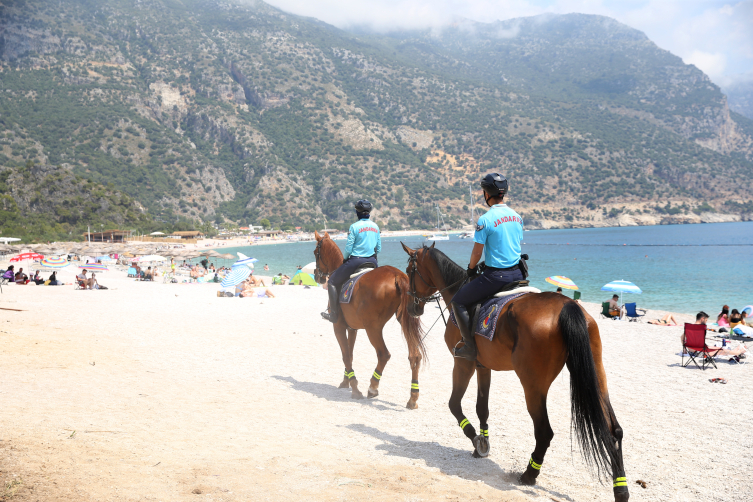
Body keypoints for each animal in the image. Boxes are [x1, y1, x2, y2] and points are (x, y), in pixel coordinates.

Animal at [312, 233, 426, 410]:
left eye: (315, 253)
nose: (317, 275)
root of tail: (397, 275)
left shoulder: (338, 327)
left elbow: (346, 355)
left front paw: (355, 389)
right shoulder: (352, 328)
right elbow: (350, 354)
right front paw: (346, 382)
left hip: (373, 328)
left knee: (384, 354)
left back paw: (373, 387)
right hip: (404, 321)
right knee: (415, 356)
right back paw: (413, 398)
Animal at [400, 241, 628, 500]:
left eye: (409, 271)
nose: (412, 307)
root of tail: (567, 305)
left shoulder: (463, 363)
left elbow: (454, 404)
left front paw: (476, 440)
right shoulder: (482, 366)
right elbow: (482, 408)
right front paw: (483, 443)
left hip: (533, 386)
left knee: (544, 432)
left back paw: (529, 474)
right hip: (597, 378)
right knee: (614, 430)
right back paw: (621, 488)